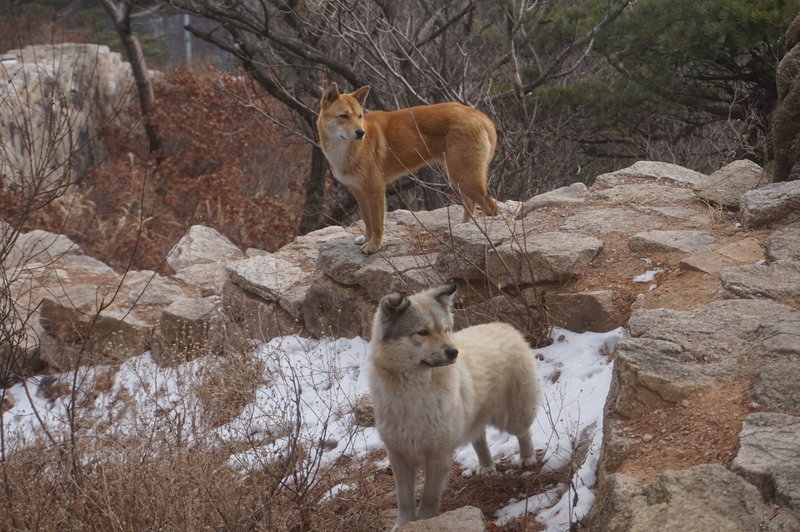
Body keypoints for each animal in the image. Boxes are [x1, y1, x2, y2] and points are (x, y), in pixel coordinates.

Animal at [316, 84, 496, 255]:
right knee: (471, 206)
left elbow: (377, 224)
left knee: (491, 207)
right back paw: (460, 233)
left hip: (464, 177)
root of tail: (480, 115)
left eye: (359, 116)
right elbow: (367, 221)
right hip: (457, 176)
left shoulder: (375, 190)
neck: (345, 149)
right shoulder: (358, 191)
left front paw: (374, 246)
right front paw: (367, 238)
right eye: (344, 116)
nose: (361, 132)